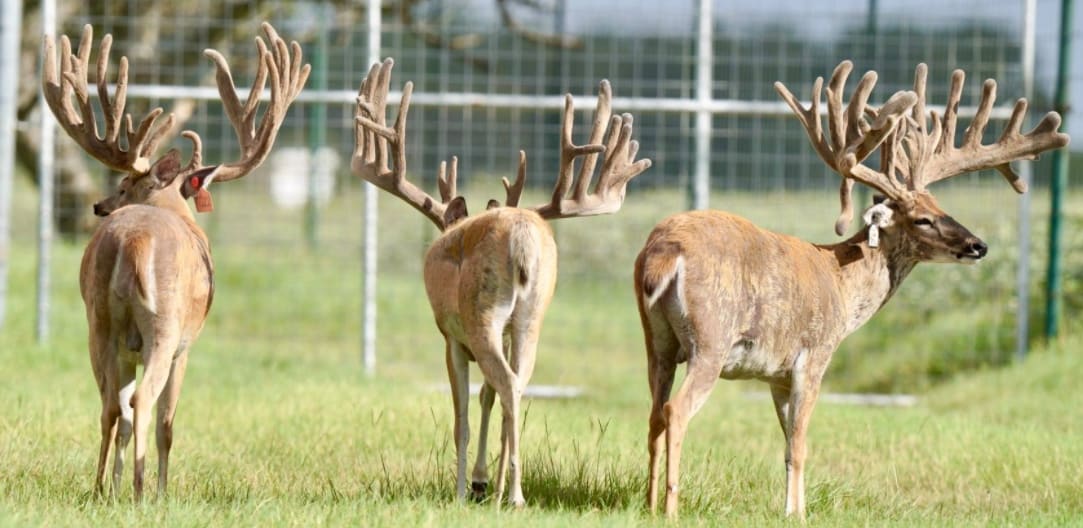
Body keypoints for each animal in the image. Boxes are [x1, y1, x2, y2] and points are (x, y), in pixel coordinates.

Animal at [41, 22, 309, 500]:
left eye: (124, 185)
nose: (98, 205)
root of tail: (133, 243)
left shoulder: (125, 344)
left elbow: (123, 418)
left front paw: (114, 485)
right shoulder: (187, 343)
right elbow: (168, 422)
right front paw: (161, 489)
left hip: (100, 321)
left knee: (111, 405)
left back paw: (101, 487)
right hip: (164, 326)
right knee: (143, 402)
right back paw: (143, 491)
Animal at [352, 59, 651, 507]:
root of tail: (522, 234)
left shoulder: (451, 337)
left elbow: (462, 413)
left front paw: (463, 488)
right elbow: (486, 396)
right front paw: (480, 480)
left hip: (481, 311)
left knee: (508, 383)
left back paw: (513, 495)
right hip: (531, 315)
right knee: (520, 384)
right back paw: (502, 490)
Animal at [636, 60, 1069, 519]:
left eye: (942, 208)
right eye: (922, 219)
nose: (978, 246)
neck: (842, 284)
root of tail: (664, 250)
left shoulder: (776, 374)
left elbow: (787, 440)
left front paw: (794, 508)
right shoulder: (816, 351)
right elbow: (799, 445)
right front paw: (797, 514)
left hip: (657, 339)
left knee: (654, 414)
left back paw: (648, 504)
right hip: (712, 336)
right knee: (676, 410)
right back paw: (671, 509)